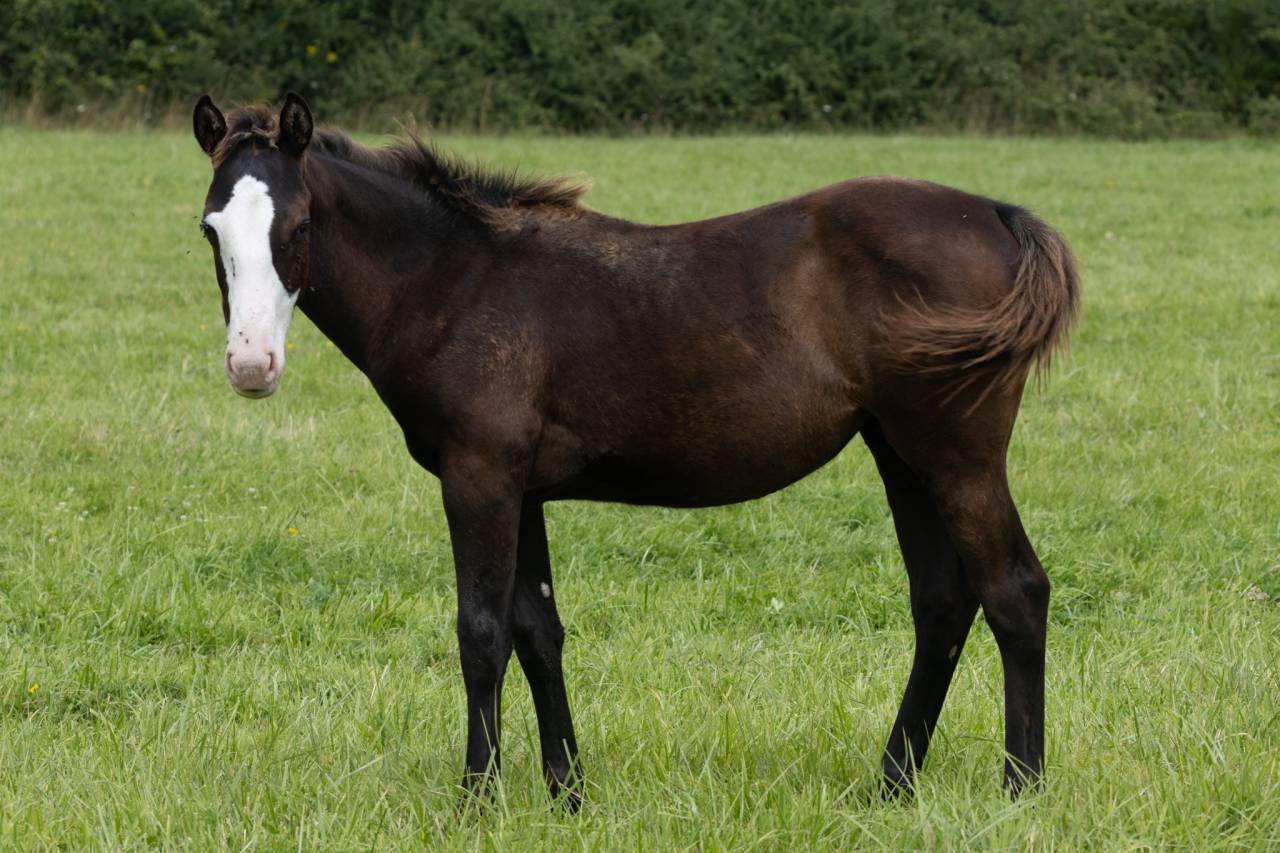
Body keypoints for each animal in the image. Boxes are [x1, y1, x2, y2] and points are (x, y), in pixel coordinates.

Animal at [192, 93, 1078, 804]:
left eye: (300, 224)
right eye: (210, 230)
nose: (251, 366)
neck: (454, 280)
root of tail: (997, 213)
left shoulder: (478, 475)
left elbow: (480, 632)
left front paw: (478, 799)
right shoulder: (523, 486)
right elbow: (537, 631)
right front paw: (567, 792)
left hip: (957, 452)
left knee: (1013, 590)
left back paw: (1021, 788)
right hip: (899, 450)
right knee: (942, 600)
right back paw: (892, 783)